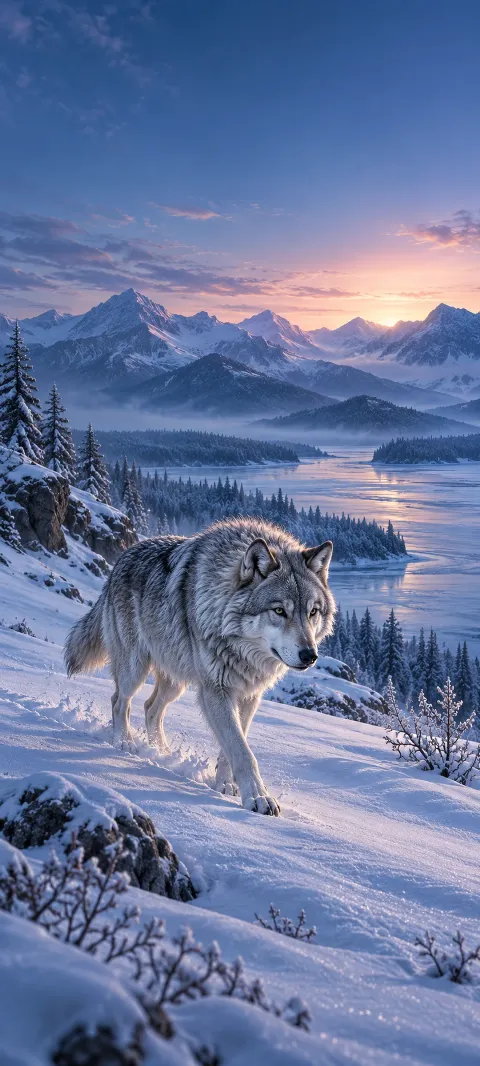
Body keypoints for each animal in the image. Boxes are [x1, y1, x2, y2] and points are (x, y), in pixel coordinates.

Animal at [65, 517, 335, 815]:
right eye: (279, 611)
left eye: (312, 612)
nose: (310, 655)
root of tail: (122, 558)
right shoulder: (215, 690)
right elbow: (242, 751)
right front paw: (258, 797)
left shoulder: (249, 696)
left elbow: (233, 747)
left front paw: (226, 786)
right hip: (135, 669)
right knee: (119, 700)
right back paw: (124, 742)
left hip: (175, 682)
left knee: (150, 708)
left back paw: (162, 753)